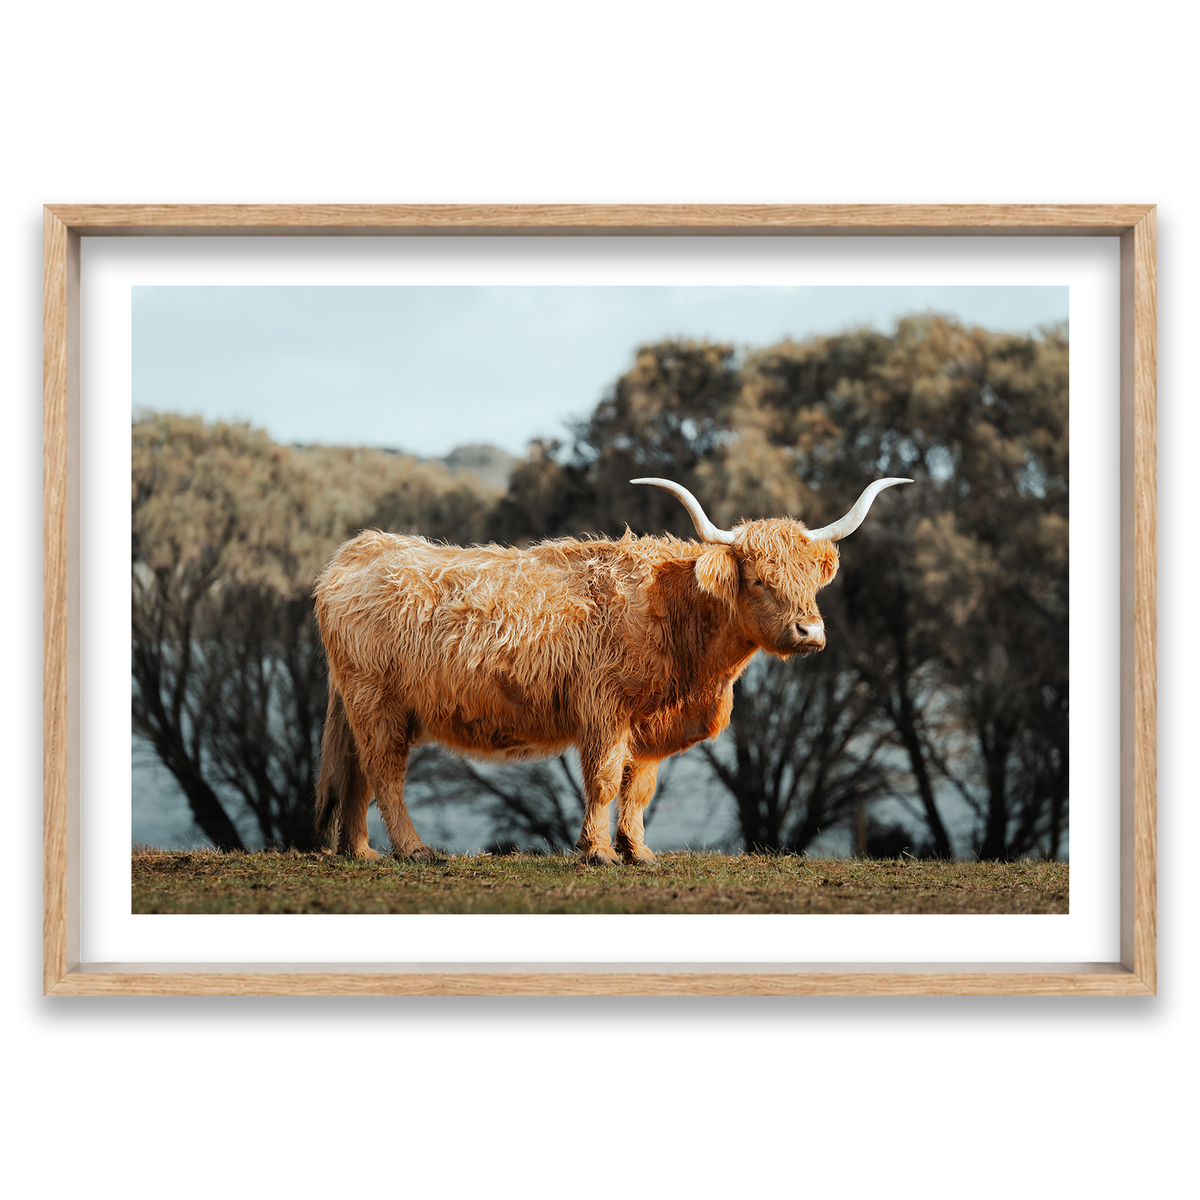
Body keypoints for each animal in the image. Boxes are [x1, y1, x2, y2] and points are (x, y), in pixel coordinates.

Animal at [313, 476, 911, 865]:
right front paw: (598, 852)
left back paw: (361, 852)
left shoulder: (647, 723)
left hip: (364, 706)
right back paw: (414, 851)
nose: (810, 632)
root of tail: (359, 549)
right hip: (377, 702)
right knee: (385, 773)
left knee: (357, 774)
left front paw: (638, 851)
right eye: (761, 580)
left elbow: (639, 787)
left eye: (811, 580)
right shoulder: (604, 709)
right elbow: (602, 780)